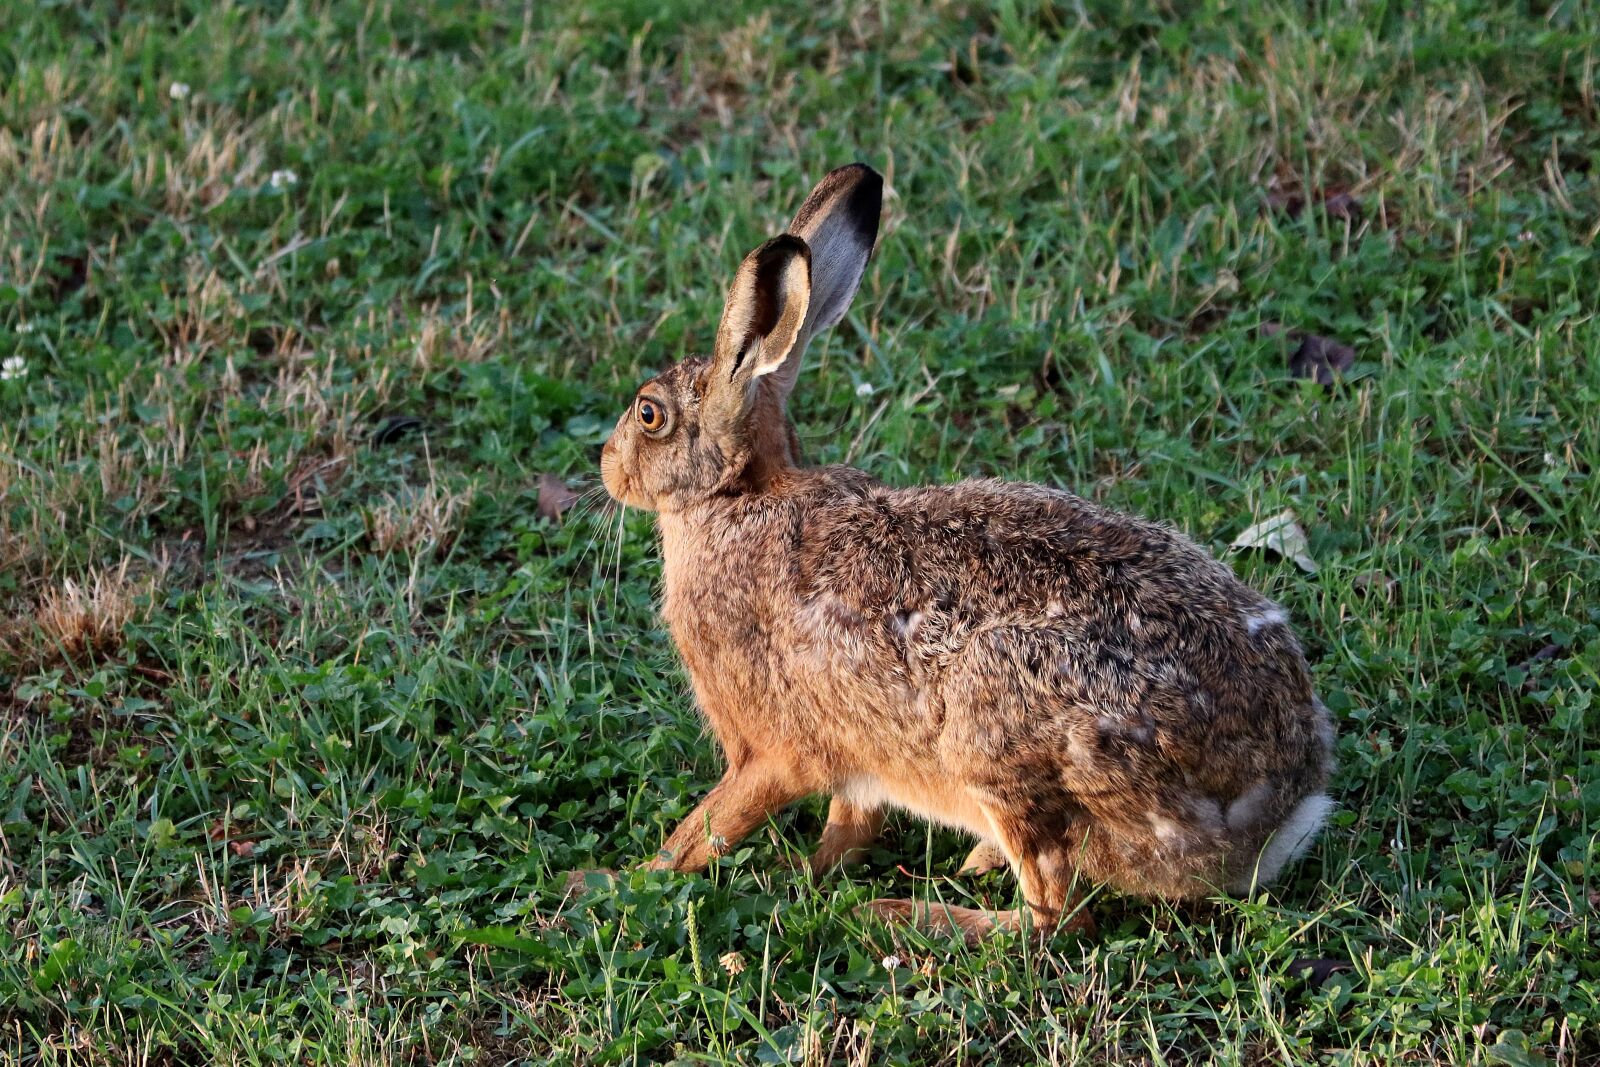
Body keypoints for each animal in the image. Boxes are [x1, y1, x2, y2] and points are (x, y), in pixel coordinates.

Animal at [597, 162, 1335, 940]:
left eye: (648, 414)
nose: (607, 466)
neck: (738, 498)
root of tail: (1277, 807)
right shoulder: (859, 764)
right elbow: (848, 823)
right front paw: (815, 872)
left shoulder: (773, 750)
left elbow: (708, 829)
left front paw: (625, 878)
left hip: (996, 733)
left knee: (1051, 916)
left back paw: (909, 913)